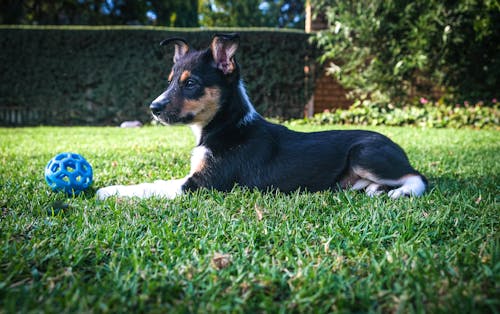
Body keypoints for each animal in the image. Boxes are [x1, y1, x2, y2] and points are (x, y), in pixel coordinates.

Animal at [95, 33, 428, 200]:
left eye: (190, 84)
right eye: (170, 81)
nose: (153, 108)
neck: (223, 125)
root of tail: (398, 147)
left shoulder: (203, 183)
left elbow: (151, 185)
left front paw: (109, 190)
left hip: (364, 153)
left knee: (418, 177)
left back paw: (401, 192)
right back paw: (373, 188)